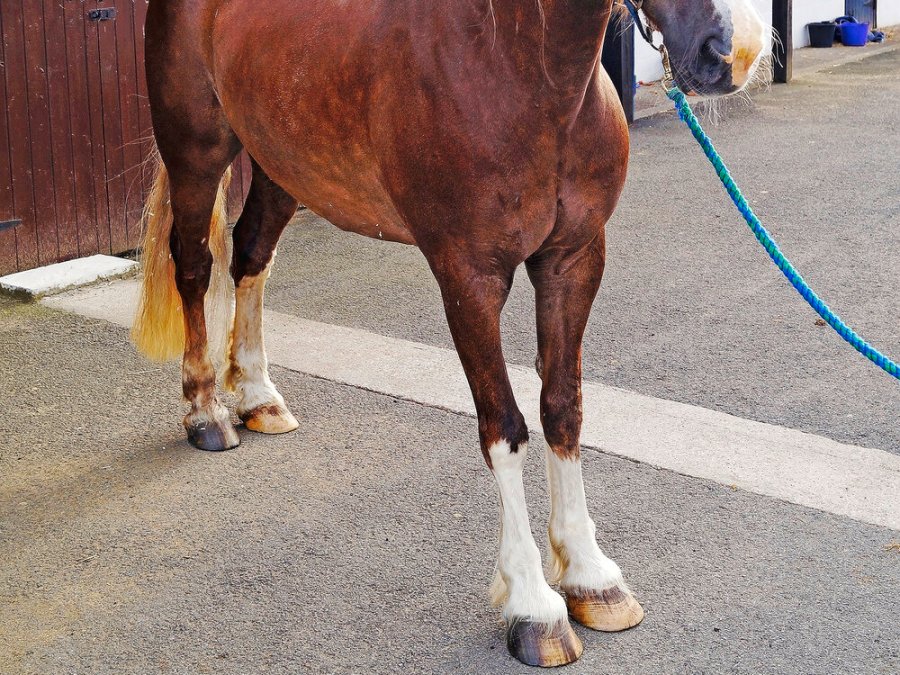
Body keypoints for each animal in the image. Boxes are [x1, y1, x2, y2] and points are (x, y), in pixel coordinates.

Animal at [134, 0, 768, 664]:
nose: (736, 50)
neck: (520, 71)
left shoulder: (573, 260)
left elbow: (563, 410)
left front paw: (591, 578)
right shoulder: (470, 277)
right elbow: (506, 429)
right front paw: (534, 607)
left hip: (281, 163)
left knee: (252, 255)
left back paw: (259, 397)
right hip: (196, 151)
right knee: (195, 266)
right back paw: (206, 411)